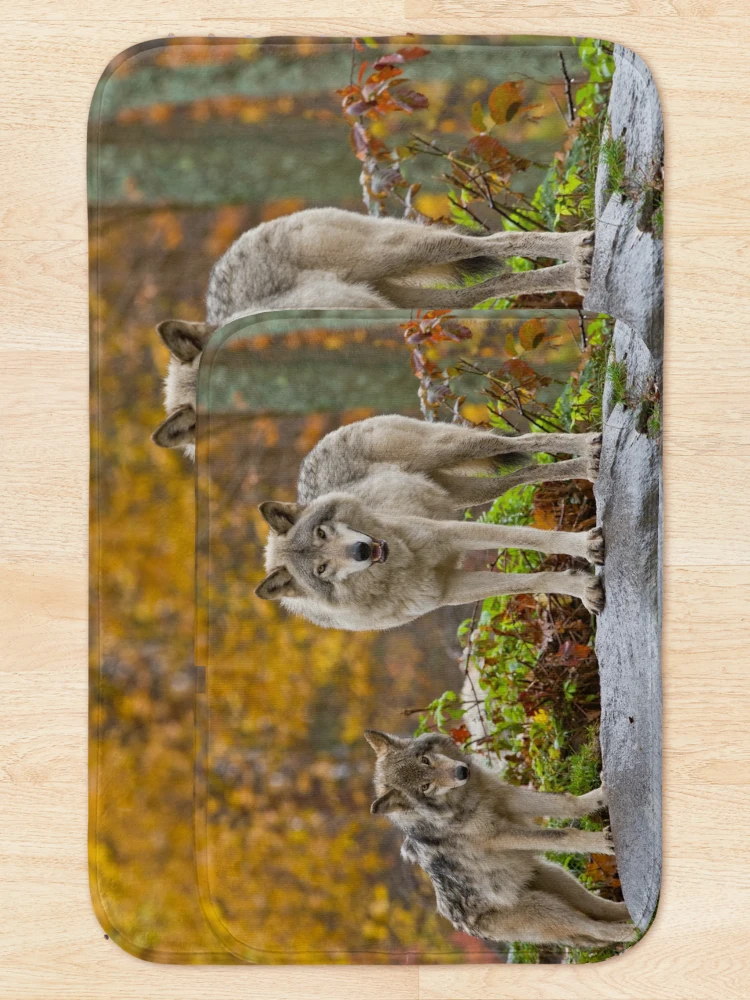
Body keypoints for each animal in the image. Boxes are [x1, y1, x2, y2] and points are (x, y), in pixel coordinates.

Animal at [254, 414, 605, 629]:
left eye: (322, 532)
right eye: (321, 570)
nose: (361, 551)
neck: (399, 568)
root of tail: (317, 446)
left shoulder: (451, 532)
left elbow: (533, 539)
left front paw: (586, 547)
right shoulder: (450, 588)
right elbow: (531, 582)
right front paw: (582, 588)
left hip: (453, 449)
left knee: (523, 441)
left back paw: (589, 448)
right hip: (470, 492)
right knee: (525, 474)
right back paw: (585, 466)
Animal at [364, 730, 634, 948]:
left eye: (425, 760)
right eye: (425, 786)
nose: (462, 771)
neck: (462, 801)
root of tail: (467, 929)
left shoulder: (506, 797)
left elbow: (569, 804)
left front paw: (603, 793)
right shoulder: (498, 835)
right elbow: (563, 835)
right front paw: (600, 842)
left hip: (556, 879)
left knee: (598, 910)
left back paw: (630, 914)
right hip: (542, 907)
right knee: (593, 927)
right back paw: (629, 932)